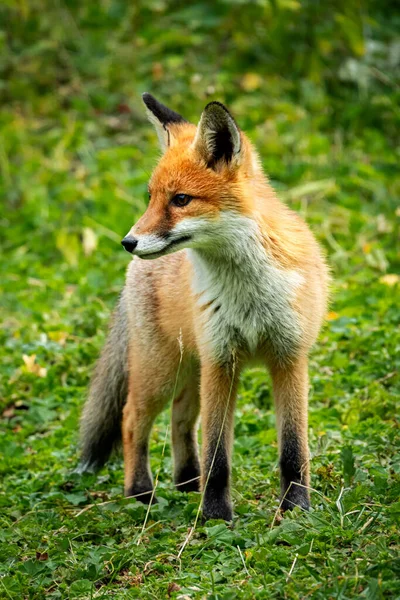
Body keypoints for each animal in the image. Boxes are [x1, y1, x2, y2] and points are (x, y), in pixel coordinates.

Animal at [79, 94, 330, 520]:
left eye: (181, 200)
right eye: (151, 198)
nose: (128, 241)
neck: (250, 294)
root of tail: (130, 276)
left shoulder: (289, 357)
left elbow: (294, 450)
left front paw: (296, 509)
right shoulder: (222, 360)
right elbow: (218, 456)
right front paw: (214, 515)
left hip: (190, 369)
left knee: (180, 420)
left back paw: (185, 483)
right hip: (164, 370)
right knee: (132, 420)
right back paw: (140, 492)